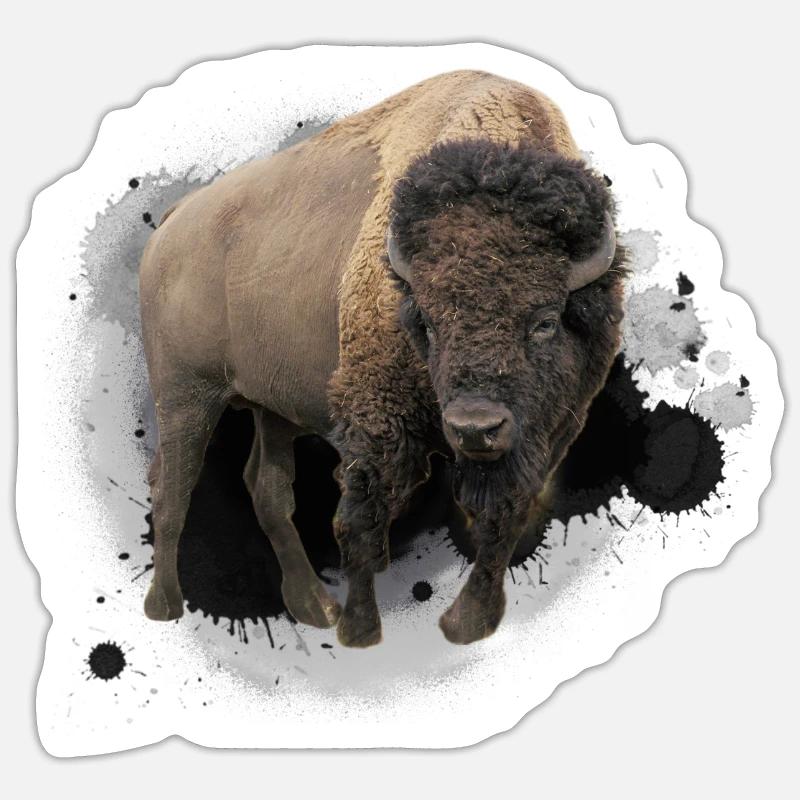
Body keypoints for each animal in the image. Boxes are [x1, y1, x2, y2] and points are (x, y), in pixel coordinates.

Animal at [138, 69, 626, 648]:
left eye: (546, 321)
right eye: (429, 323)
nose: (475, 427)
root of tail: (171, 225)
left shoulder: (547, 434)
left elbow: (502, 518)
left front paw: (468, 624)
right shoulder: (377, 423)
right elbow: (360, 522)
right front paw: (360, 630)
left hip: (271, 408)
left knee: (268, 490)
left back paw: (313, 607)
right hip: (185, 397)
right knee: (174, 488)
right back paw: (164, 607)